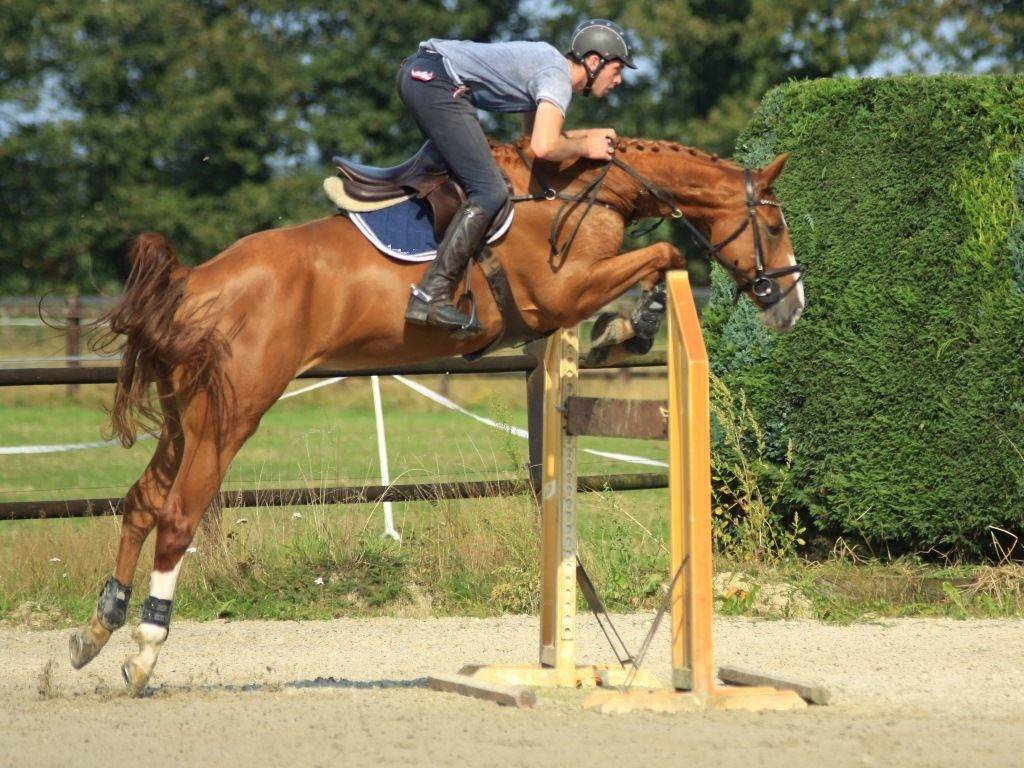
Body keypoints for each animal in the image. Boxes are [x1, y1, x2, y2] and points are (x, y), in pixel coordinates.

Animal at [67, 136, 803, 694]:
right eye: (773, 226)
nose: (791, 307)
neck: (581, 194)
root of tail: (194, 282)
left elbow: (658, 258)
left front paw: (626, 328)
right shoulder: (560, 294)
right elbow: (667, 254)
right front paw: (629, 328)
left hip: (185, 414)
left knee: (141, 501)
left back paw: (97, 630)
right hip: (231, 414)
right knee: (178, 515)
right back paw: (143, 652)